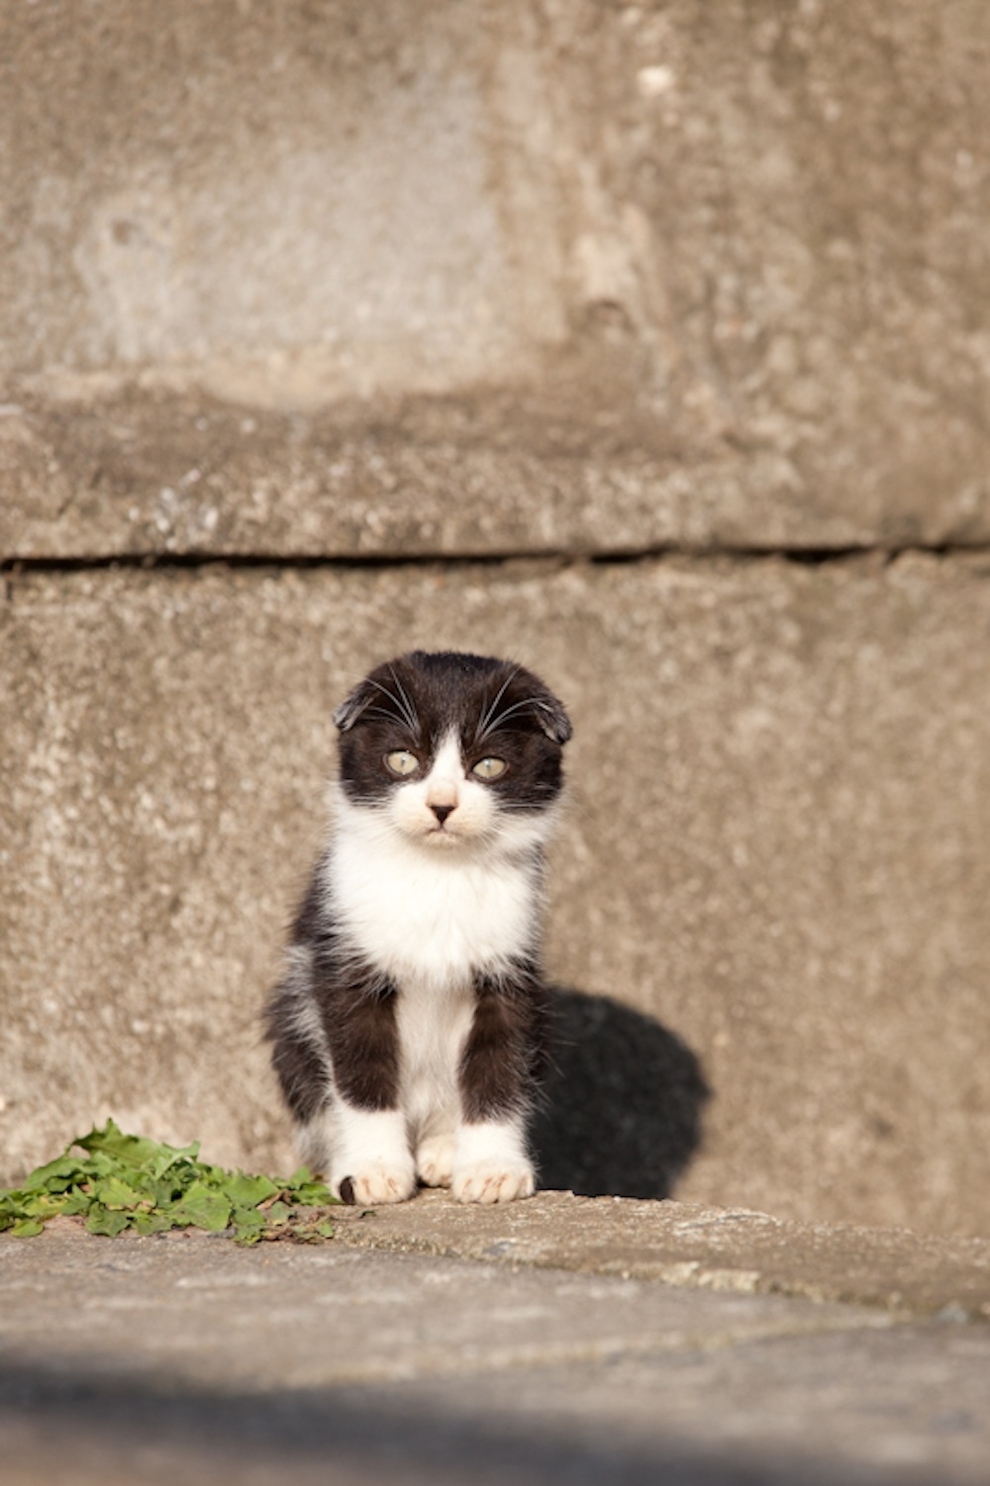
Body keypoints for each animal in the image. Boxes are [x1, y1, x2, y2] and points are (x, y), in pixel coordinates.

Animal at [264, 650, 570, 1206]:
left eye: (488, 765)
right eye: (403, 760)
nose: (442, 805)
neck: (437, 875)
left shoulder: (509, 967)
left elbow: (500, 1062)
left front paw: (491, 1168)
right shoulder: (344, 959)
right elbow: (361, 1070)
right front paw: (372, 1169)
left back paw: (444, 1151)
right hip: (290, 1025)